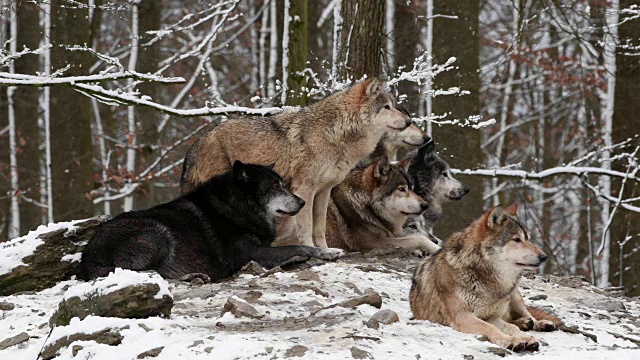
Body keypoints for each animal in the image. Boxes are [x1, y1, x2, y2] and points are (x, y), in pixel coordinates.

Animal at [80, 160, 344, 282]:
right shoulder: (249, 254)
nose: (302, 202)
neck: (236, 207)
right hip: (158, 233)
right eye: (274, 187)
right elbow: (299, 246)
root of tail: (88, 256)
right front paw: (327, 252)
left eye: (284, 185)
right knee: (150, 273)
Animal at [180, 78, 410, 248]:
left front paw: (326, 251)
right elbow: (306, 227)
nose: (409, 121)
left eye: (394, 106)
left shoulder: (323, 191)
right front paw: (310, 249)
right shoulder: (304, 189)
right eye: (387, 107)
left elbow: (319, 227)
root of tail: (197, 143)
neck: (337, 133)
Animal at [410, 204, 560, 352]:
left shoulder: (491, 317)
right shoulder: (463, 316)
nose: (544, 257)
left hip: (515, 296)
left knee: (527, 315)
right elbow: (492, 328)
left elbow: (512, 327)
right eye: (517, 239)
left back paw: (539, 323)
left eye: (528, 238)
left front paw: (526, 338)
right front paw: (510, 341)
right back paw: (525, 323)